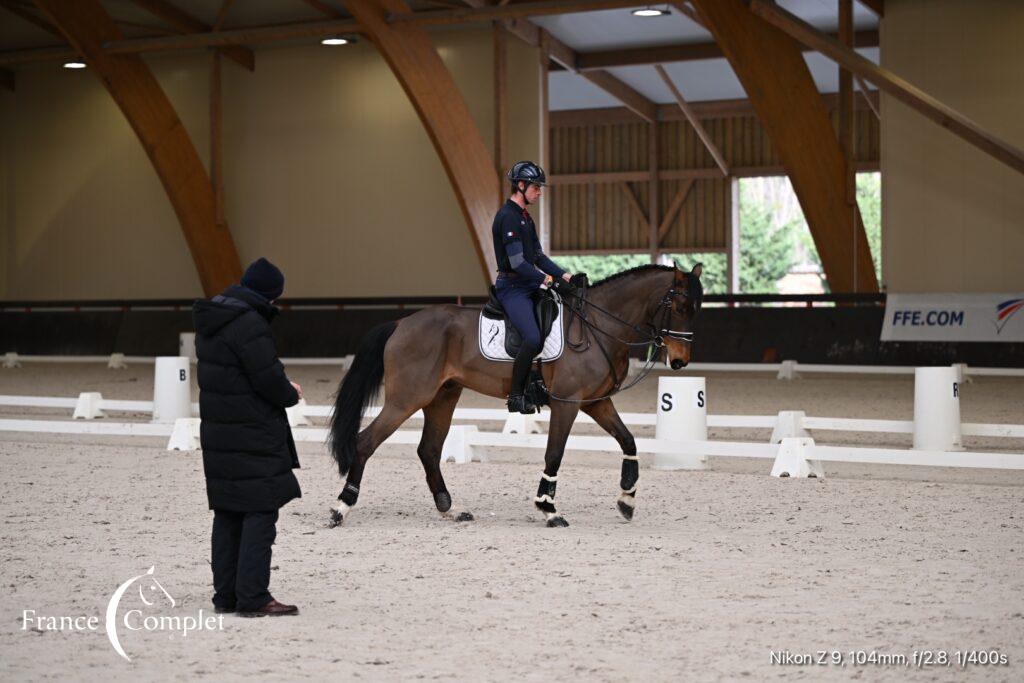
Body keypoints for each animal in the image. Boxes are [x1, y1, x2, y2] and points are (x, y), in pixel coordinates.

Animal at [327, 262, 704, 528]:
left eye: (696, 308)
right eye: (680, 307)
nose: (680, 361)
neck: (599, 326)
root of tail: (401, 324)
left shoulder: (597, 402)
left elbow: (628, 441)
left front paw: (627, 499)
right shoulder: (568, 403)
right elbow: (555, 454)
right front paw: (548, 509)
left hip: (442, 397)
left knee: (429, 450)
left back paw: (451, 509)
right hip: (407, 398)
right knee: (366, 442)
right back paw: (341, 507)